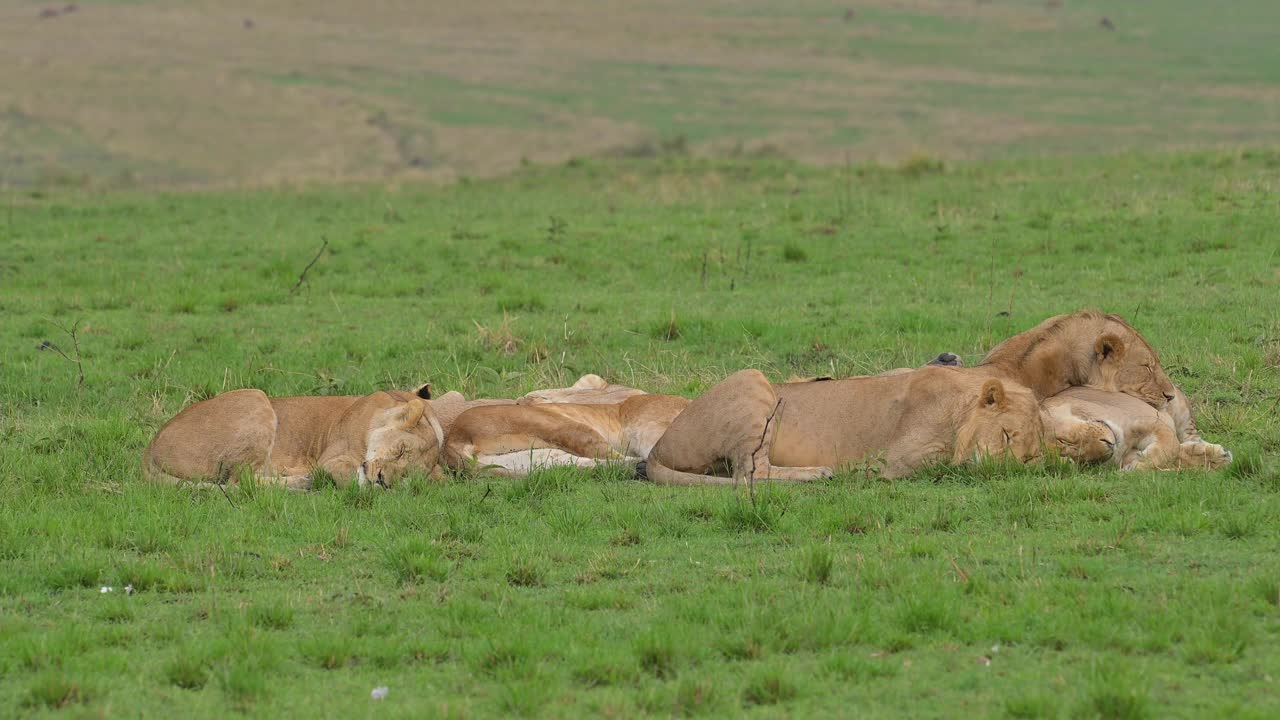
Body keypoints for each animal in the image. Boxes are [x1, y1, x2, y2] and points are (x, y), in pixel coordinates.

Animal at [144, 384, 442, 489]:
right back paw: (305, 482)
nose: (383, 480)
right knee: (241, 481)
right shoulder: (332, 458)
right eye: (400, 450)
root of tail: (148, 450)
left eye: (407, 473)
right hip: (255, 397)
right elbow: (352, 478)